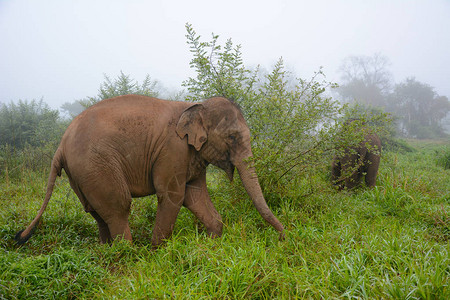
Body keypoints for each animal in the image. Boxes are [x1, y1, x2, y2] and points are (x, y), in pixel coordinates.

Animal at [17, 95, 286, 246]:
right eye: (232, 137)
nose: (284, 237)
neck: (195, 105)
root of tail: (60, 146)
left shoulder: (192, 155)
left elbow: (195, 195)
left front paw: (213, 242)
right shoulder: (173, 150)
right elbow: (173, 196)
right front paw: (158, 252)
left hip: (80, 173)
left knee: (96, 211)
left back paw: (105, 252)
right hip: (95, 165)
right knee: (118, 207)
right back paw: (127, 254)